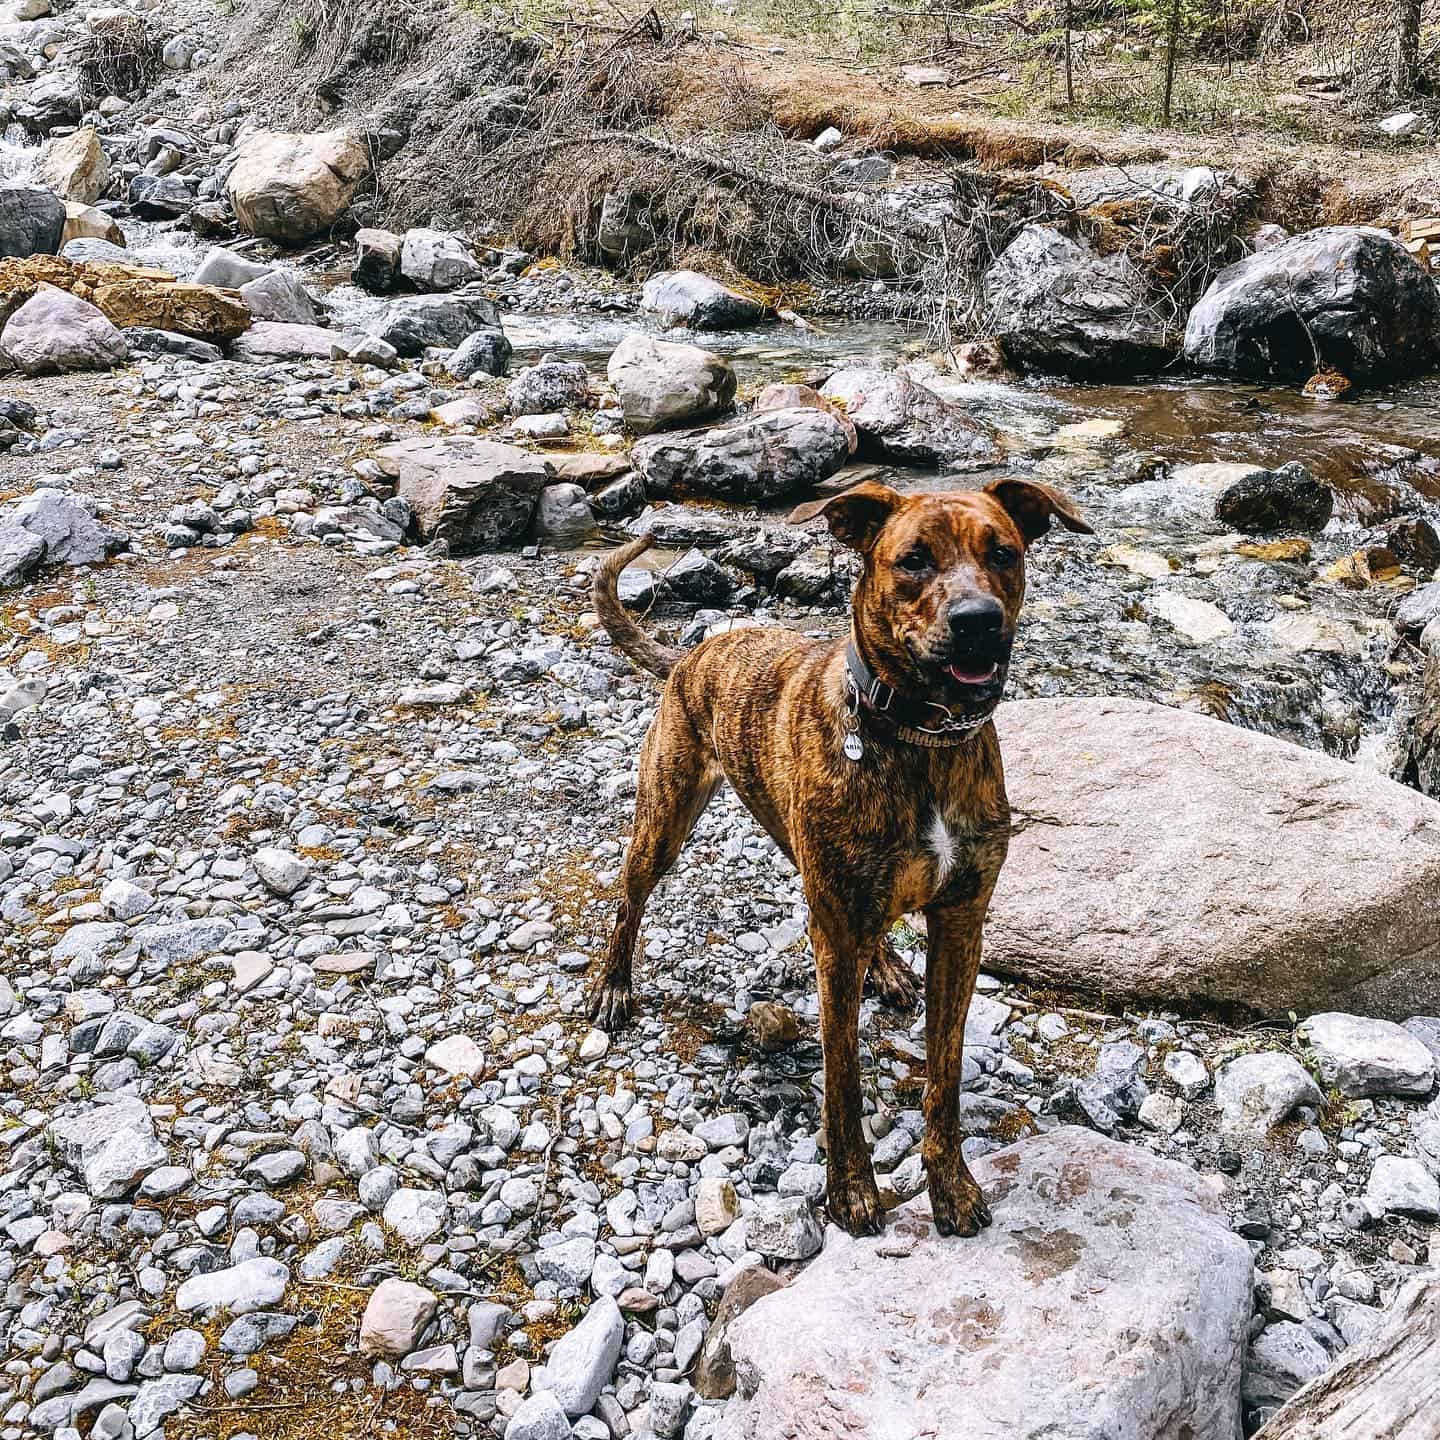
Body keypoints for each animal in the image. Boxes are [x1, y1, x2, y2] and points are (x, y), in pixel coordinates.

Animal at [584, 478, 1088, 1232]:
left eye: (1003, 552)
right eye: (913, 559)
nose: (978, 620)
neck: (920, 739)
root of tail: (691, 656)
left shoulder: (960, 922)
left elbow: (944, 1073)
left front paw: (951, 1184)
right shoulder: (836, 936)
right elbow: (842, 1077)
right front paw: (851, 1188)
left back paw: (888, 968)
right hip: (666, 816)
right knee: (629, 900)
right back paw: (614, 984)